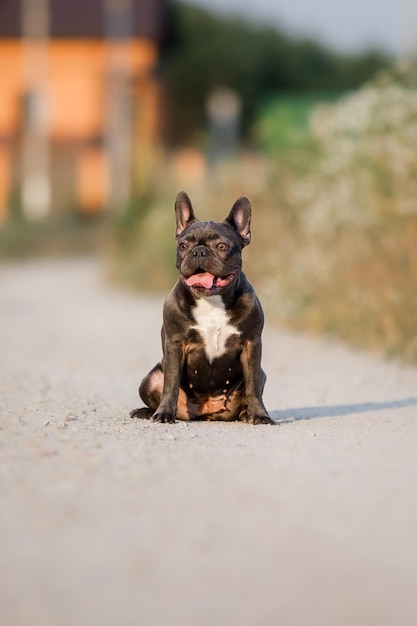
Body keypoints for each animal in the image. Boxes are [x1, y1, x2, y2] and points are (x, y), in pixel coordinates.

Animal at [130, 190, 272, 424]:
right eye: (183, 246)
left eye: (222, 246)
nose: (199, 252)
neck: (211, 301)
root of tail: (206, 413)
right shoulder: (175, 344)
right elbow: (170, 383)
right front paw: (164, 414)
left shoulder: (252, 344)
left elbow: (252, 385)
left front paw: (260, 415)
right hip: (149, 380)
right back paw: (147, 412)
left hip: (262, 374)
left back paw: (246, 414)